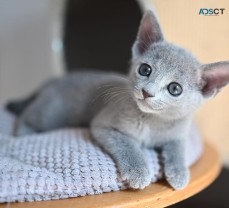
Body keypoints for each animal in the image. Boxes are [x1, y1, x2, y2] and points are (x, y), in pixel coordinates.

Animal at [7, 11, 229, 190]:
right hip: (52, 113)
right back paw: (24, 132)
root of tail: (53, 81)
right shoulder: (104, 125)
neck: (152, 121)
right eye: (145, 69)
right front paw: (139, 171)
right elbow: (128, 145)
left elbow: (178, 148)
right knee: (28, 117)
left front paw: (179, 172)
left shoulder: (178, 132)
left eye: (175, 89)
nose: (147, 92)